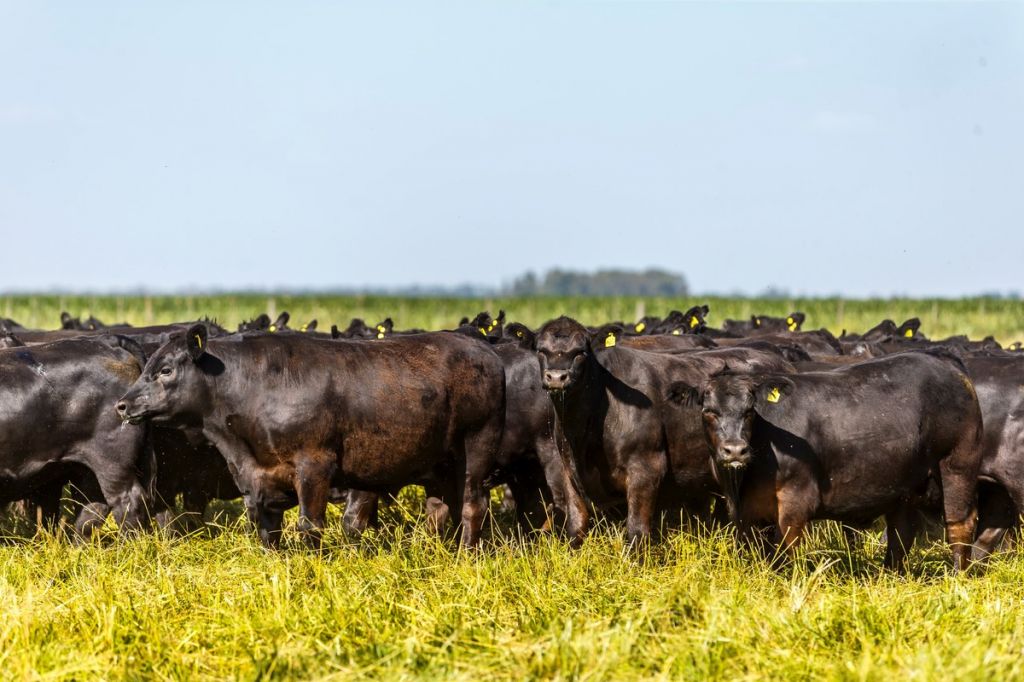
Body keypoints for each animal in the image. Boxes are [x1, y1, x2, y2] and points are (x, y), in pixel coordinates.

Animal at [118, 325, 503, 548]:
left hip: (477, 449)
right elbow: (268, 532)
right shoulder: (259, 482)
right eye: (148, 365)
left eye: (166, 370)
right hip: (440, 463)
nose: (123, 405)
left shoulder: (314, 465)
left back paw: (467, 555)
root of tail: (486, 352)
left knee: (473, 506)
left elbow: (309, 526)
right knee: (439, 509)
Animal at [679, 350, 983, 569]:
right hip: (905, 485)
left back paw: (958, 576)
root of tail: (951, 369)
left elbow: (782, 556)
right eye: (709, 411)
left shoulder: (795, 504)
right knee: (901, 533)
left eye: (750, 410)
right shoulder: (747, 514)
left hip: (958, 466)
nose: (735, 450)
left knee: (959, 524)